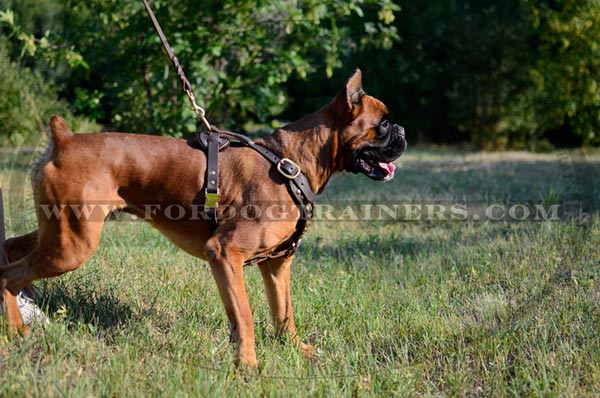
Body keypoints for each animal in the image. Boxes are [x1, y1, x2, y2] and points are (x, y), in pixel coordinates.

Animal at [1, 70, 404, 368]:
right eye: (383, 126)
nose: (402, 131)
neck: (291, 161)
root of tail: (64, 138)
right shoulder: (224, 253)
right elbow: (245, 316)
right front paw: (248, 366)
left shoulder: (276, 265)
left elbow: (283, 314)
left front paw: (295, 350)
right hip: (73, 244)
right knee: (9, 275)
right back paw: (17, 331)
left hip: (59, 232)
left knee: (12, 248)